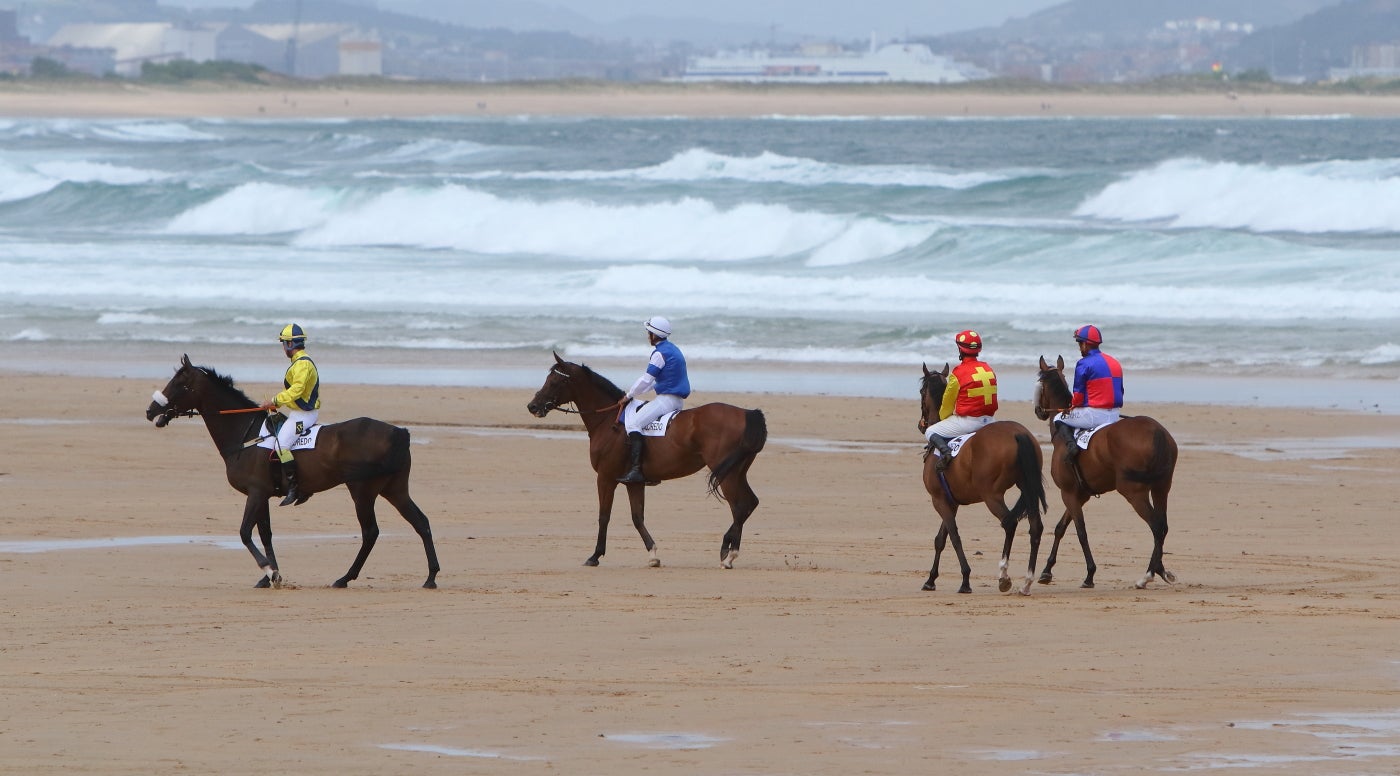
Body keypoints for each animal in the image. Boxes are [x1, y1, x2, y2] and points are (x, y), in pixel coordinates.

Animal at [144, 354, 439, 585]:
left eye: (179, 383)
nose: (150, 410)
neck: (247, 435)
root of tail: (399, 432)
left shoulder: (255, 492)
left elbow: (245, 532)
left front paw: (269, 571)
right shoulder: (262, 494)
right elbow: (265, 533)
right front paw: (270, 575)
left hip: (362, 492)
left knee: (371, 532)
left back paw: (345, 578)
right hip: (394, 490)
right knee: (421, 522)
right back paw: (431, 577)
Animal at [526, 352, 767, 565]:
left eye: (555, 382)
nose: (532, 406)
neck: (608, 420)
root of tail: (747, 413)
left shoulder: (605, 478)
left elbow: (604, 515)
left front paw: (595, 555)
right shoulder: (634, 482)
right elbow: (637, 517)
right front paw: (652, 554)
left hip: (727, 474)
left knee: (739, 506)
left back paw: (729, 554)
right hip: (737, 471)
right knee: (750, 503)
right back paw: (728, 550)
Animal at [912, 361, 1047, 591]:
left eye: (922, 391)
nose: (922, 425)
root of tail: (1017, 433)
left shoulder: (939, 500)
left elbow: (954, 536)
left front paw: (965, 579)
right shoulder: (950, 501)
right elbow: (940, 539)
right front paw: (931, 579)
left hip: (991, 495)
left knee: (1009, 523)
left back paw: (1004, 576)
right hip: (1027, 487)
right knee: (1035, 527)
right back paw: (1027, 582)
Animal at [1036, 354, 1176, 585]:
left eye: (1039, 384)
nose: (1038, 410)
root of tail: (1157, 431)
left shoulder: (1069, 493)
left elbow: (1080, 531)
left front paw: (1090, 573)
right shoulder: (1079, 494)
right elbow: (1060, 528)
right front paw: (1047, 570)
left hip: (1134, 491)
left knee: (1156, 526)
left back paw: (1147, 575)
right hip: (1161, 487)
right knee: (1162, 526)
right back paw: (1160, 570)